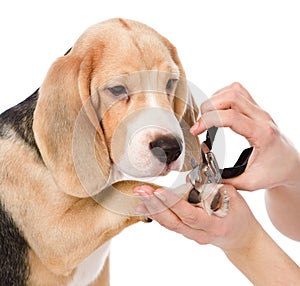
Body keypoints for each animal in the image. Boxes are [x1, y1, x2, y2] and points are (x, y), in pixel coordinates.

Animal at [0, 19, 203, 284]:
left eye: (170, 83)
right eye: (117, 89)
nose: (170, 149)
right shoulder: (56, 236)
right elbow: (122, 187)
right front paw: (175, 193)